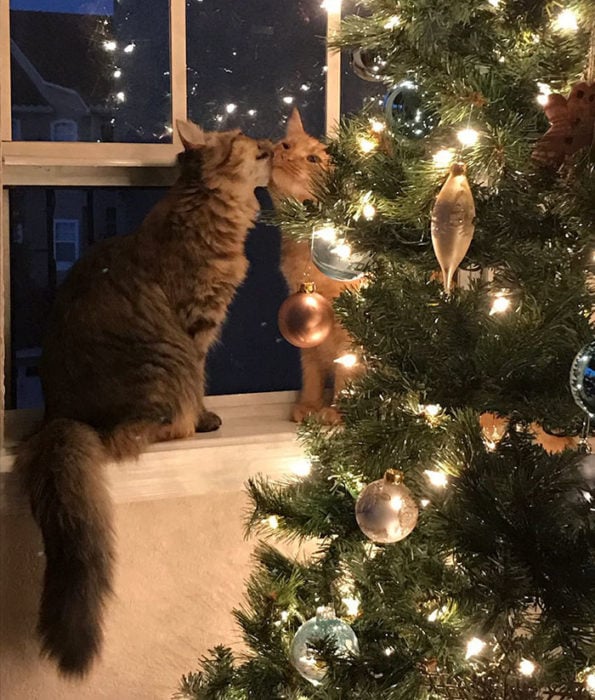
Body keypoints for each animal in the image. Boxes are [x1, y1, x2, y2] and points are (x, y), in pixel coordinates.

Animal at [15, 121, 272, 680]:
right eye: (240, 135)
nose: (265, 138)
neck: (206, 206)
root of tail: (61, 416)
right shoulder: (197, 325)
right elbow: (202, 378)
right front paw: (207, 417)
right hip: (165, 364)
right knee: (148, 428)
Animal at [268, 109, 358, 424]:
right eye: (286, 145)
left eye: (313, 159)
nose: (283, 155)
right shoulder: (304, 320)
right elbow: (311, 371)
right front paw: (309, 404)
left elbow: (347, 370)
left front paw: (339, 410)